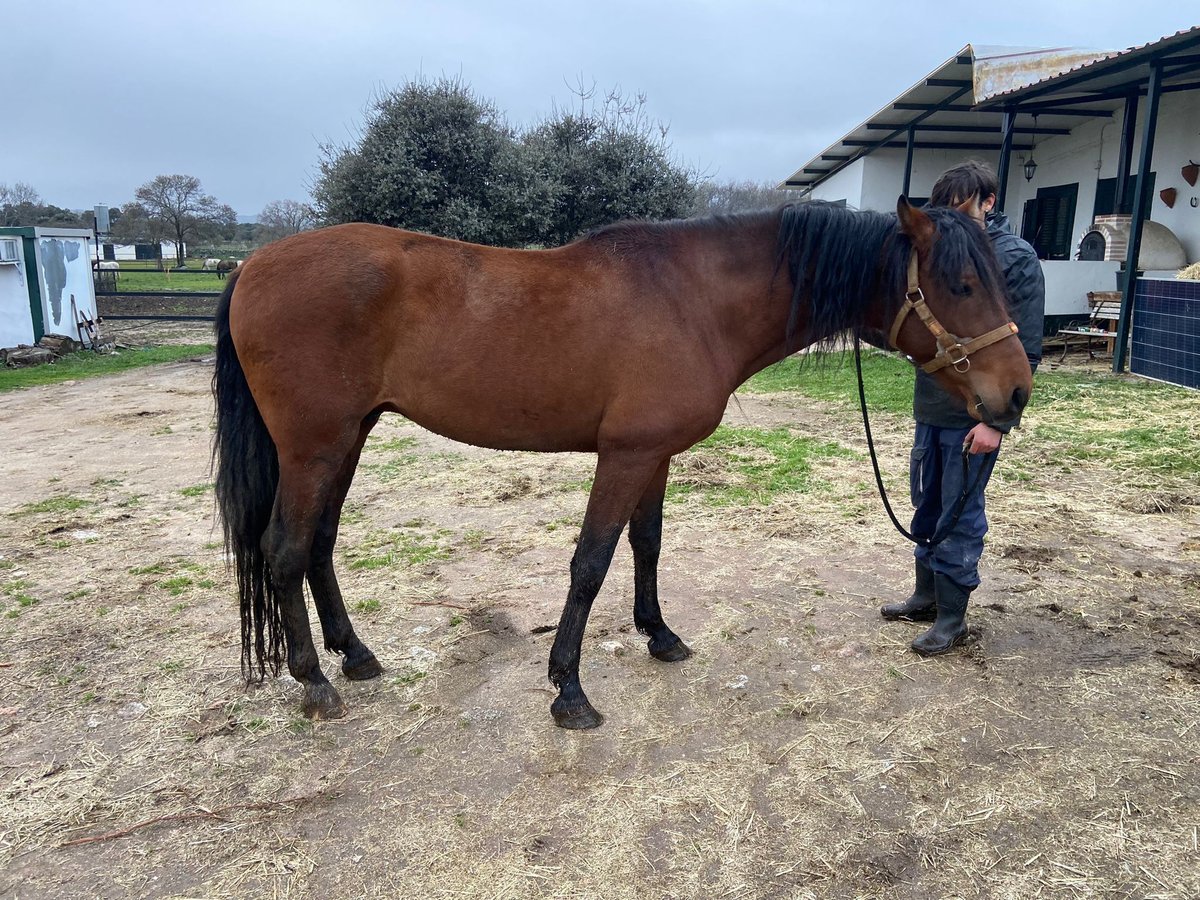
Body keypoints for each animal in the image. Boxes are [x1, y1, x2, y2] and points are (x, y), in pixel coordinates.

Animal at [208, 200, 1032, 729]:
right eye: (960, 284)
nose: (1016, 395)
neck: (692, 299)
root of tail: (251, 264)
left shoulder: (654, 455)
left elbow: (646, 545)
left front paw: (659, 636)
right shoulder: (625, 456)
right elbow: (592, 562)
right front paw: (569, 691)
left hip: (348, 438)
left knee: (319, 545)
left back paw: (355, 656)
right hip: (314, 446)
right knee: (285, 549)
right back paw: (314, 683)